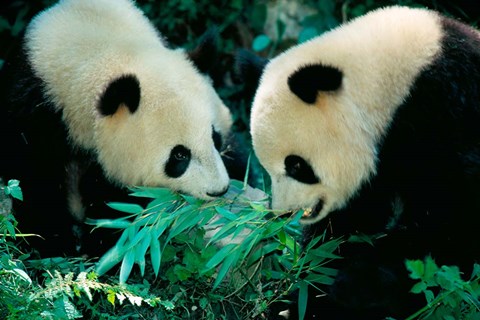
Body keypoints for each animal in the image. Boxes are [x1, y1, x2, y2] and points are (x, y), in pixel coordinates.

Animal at [0, 0, 237, 256]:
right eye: (179, 155)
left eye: (215, 138)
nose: (219, 190)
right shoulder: (34, 113)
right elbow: (35, 181)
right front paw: (56, 243)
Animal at [244, 5, 480, 320]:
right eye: (266, 168)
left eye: (296, 165)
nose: (284, 212)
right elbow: (345, 225)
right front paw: (304, 293)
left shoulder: (446, 119)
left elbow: (447, 224)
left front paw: (354, 291)